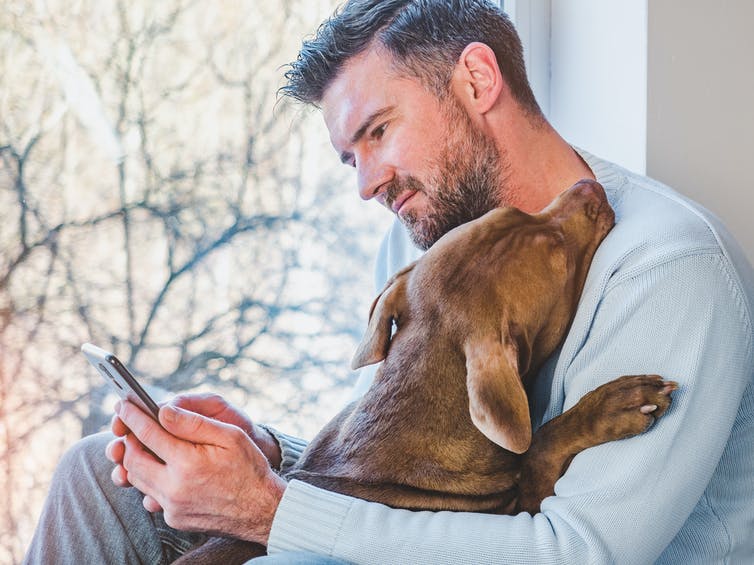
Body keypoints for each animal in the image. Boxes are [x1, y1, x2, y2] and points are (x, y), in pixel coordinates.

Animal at [176, 180, 676, 560]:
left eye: (515, 209)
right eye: (557, 251)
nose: (588, 183)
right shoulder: (521, 510)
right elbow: (539, 447)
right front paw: (613, 405)